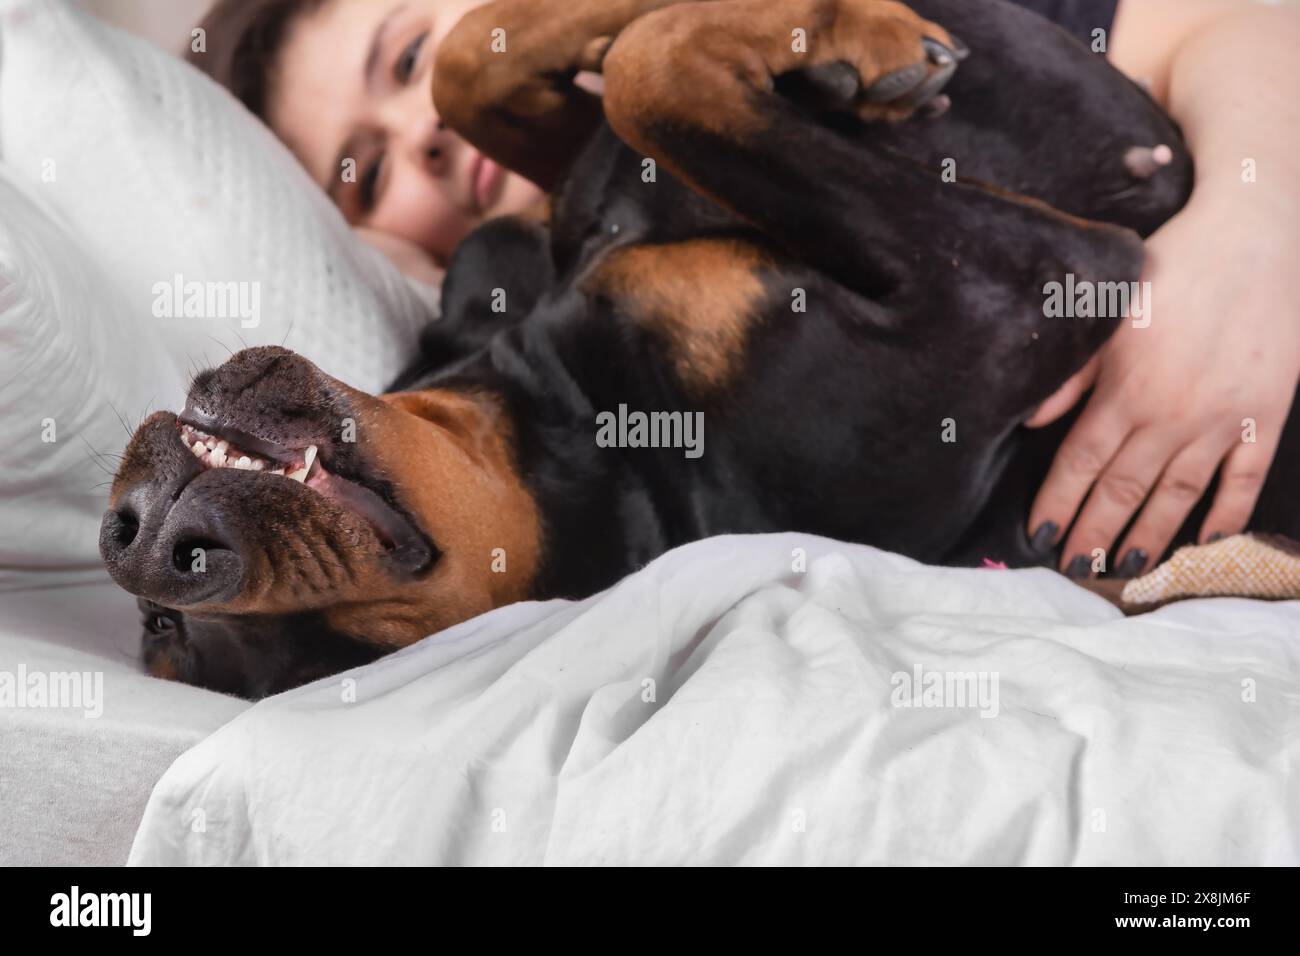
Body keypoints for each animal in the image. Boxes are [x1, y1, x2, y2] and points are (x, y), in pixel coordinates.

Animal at [98, 1, 1300, 702]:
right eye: (174, 631)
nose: (153, 540)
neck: (560, 417)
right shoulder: (1022, 286)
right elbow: (650, 73)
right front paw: (845, 38)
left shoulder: (510, 238)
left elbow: (478, 62)